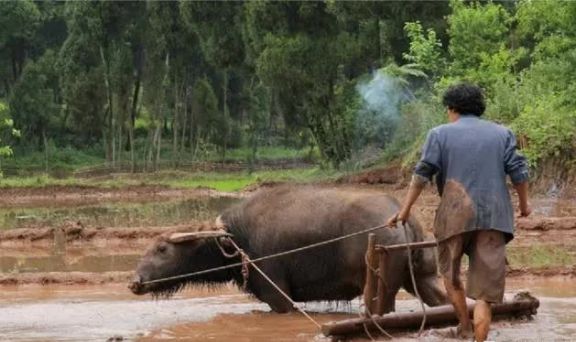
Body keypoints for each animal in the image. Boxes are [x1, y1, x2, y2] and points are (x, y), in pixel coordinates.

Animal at [129, 186, 446, 314]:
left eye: (161, 248)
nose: (135, 281)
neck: (237, 239)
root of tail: (401, 216)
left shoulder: (278, 295)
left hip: (380, 285)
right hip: (422, 275)